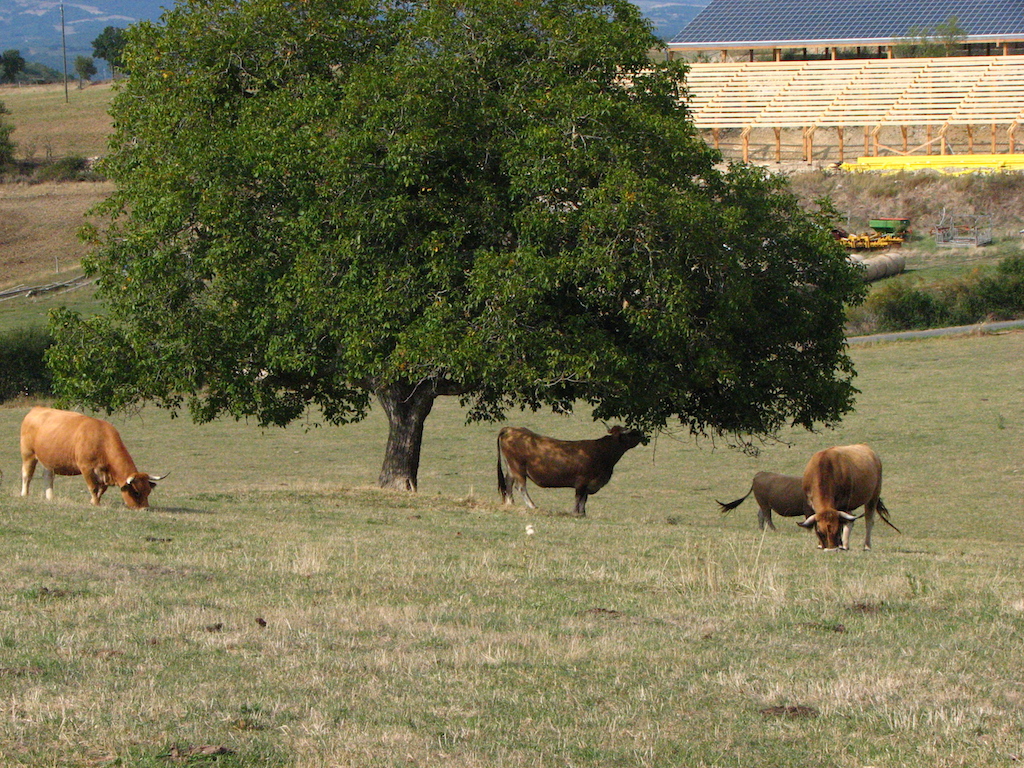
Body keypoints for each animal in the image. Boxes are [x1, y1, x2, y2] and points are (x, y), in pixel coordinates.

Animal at [20, 406, 166, 510]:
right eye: (136, 492)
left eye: (148, 491)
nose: (144, 509)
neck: (101, 439)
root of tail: (36, 409)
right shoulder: (86, 468)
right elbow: (93, 487)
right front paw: (95, 503)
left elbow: (102, 489)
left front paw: (93, 501)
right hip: (28, 454)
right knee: (27, 475)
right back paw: (24, 494)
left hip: (49, 460)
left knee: (48, 476)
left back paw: (50, 497)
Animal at [497, 425, 645, 517]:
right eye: (631, 433)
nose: (641, 432)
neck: (601, 451)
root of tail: (510, 429)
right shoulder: (582, 481)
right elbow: (578, 498)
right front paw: (576, 513)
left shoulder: (588, 484)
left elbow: (584, 499)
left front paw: (583, 513)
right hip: (518, 467)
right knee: (520, 486)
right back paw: (532, 506)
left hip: (511, 467)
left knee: (508, 483)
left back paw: (510, 503)